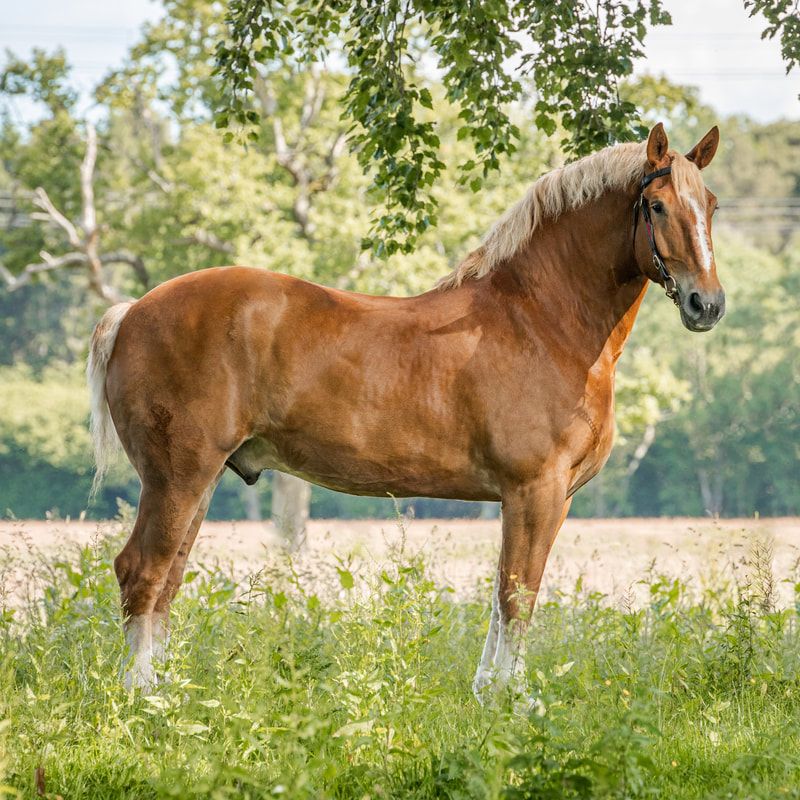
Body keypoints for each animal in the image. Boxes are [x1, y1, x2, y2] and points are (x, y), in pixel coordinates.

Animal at [87, 122, 724, 695]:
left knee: (167, 581)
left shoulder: (544, 498)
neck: (539, 318)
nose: (708, 305)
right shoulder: (533, 491)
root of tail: (131, 311)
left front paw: (487, 691)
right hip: (178, 477)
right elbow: (518, 594)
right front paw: (514, 700)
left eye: (712, 206)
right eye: (658, 207)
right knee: (142, 573)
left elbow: (503, 594)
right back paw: (144, 696)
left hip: (200, 479)